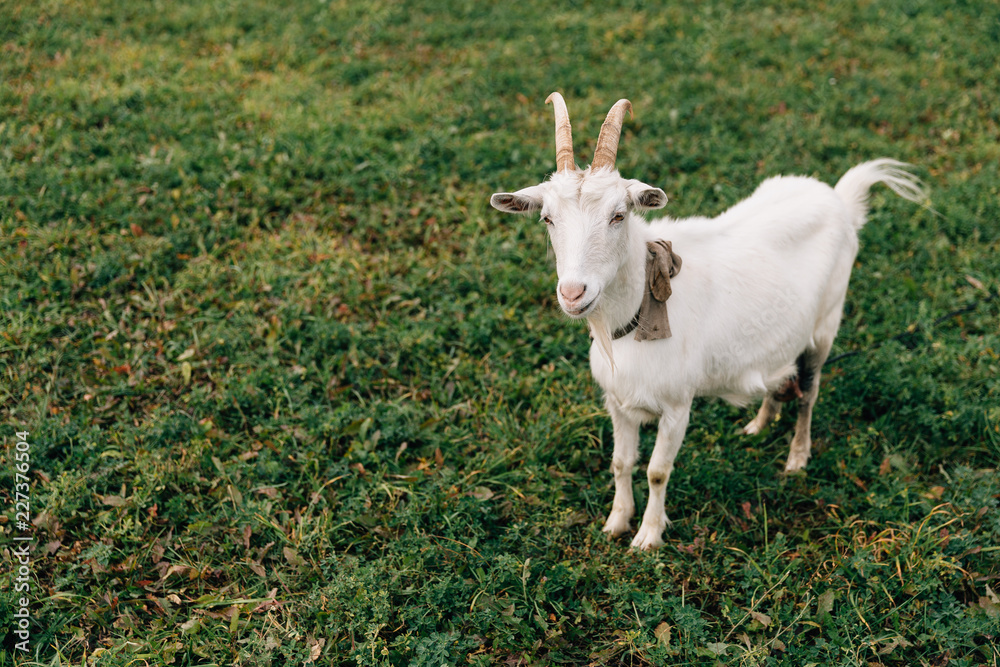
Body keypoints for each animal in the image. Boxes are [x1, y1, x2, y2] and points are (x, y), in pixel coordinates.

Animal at [490, 93, 924, 550]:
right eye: (547, 218)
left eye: (618, 215)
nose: (574, 293)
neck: (635, 319)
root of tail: (840, 201)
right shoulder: (617, 402)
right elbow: (621, 463)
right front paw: (616, 521)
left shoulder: (677, 406)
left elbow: (656, 471)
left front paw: (648, 536)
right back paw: (758, 425)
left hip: (825, 324)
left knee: (809, 391)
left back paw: (797, 457)